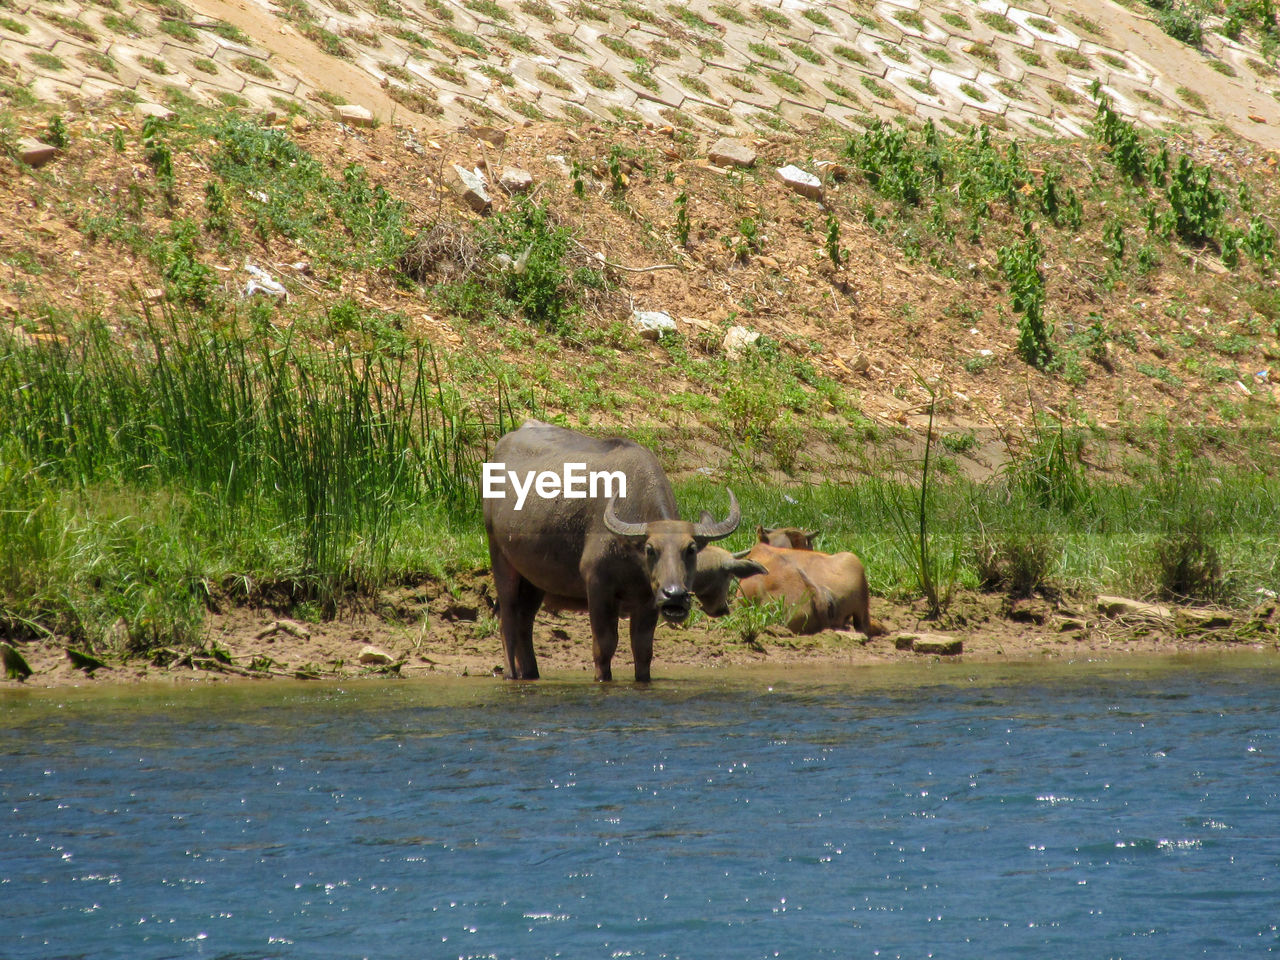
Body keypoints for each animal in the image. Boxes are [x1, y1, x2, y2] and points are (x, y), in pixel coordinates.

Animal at [481, 419, 742, 686]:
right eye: (650, 549)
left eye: (691, 550)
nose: (675, 596)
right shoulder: (598, 587)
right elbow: (604, 645)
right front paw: (602, 678)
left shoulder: (648, 599)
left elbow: (643, 649)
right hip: (499, 556)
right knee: (507, 618)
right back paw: (511, 674)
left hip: (534, 579)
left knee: (525, 621)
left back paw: (531, 673)